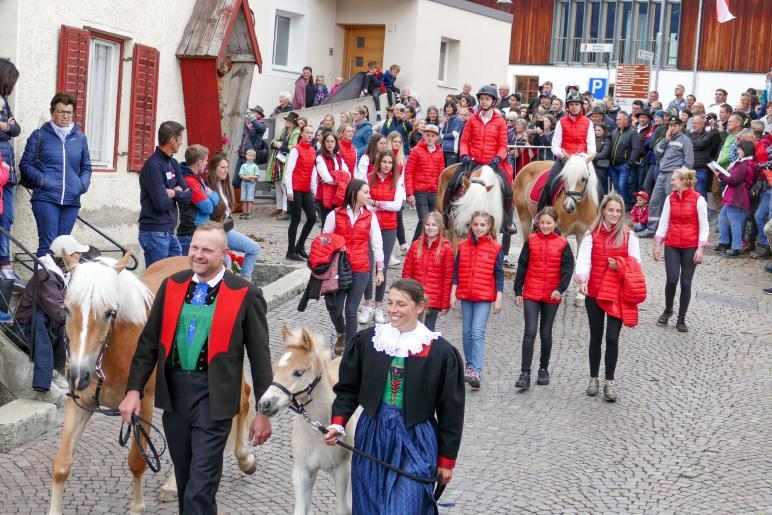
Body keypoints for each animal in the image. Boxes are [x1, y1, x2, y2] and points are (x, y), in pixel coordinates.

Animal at [51, 256, 256, 512]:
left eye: (109, 312)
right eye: (67, 309)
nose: (78, 375)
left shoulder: (142, 404)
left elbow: (137, 461)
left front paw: (137, 507)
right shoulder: (80, 403)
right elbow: (61, 464)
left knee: (243, 397)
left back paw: (245, 458)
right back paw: (172, 485)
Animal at [256, 328, 358, 512]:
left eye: (298, 372)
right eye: (276, 367)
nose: (264, 404)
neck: (320, 431)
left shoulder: (343, 470)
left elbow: (343, 508)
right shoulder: (302, 471)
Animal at [516, 155, 600, 304]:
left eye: (584, 178)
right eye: (564, 178)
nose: (568, 207)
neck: (579, 208)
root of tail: (526, 166)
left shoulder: (583, 235)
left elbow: (581, 259)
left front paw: (580, 295)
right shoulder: (562, 233)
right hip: (524, 216)